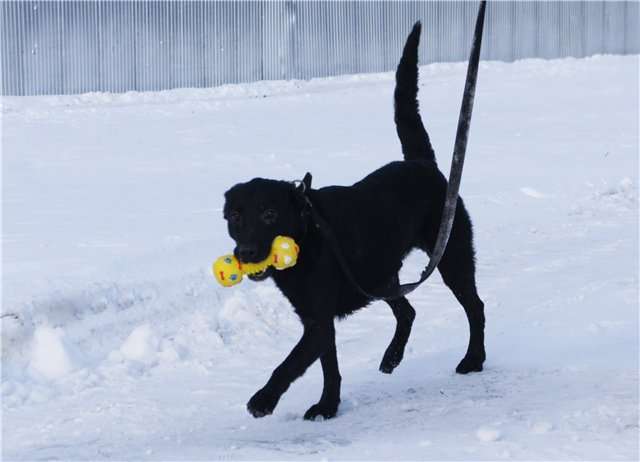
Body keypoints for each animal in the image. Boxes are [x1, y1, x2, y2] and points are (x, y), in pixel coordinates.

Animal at [224, 23, 484, 420]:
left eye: (270, 214)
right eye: (236, 216)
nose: (248, 252)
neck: (308, 235)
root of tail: (423, 164)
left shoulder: (317, 322)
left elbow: (288, 364)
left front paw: (264, 399)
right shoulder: (317, 319)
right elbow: (329, 367)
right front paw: (328, 406)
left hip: (452, 257)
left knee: (475, 307)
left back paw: (474, 359)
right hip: (381, 275)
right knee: (407, 311)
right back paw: (392, 357)